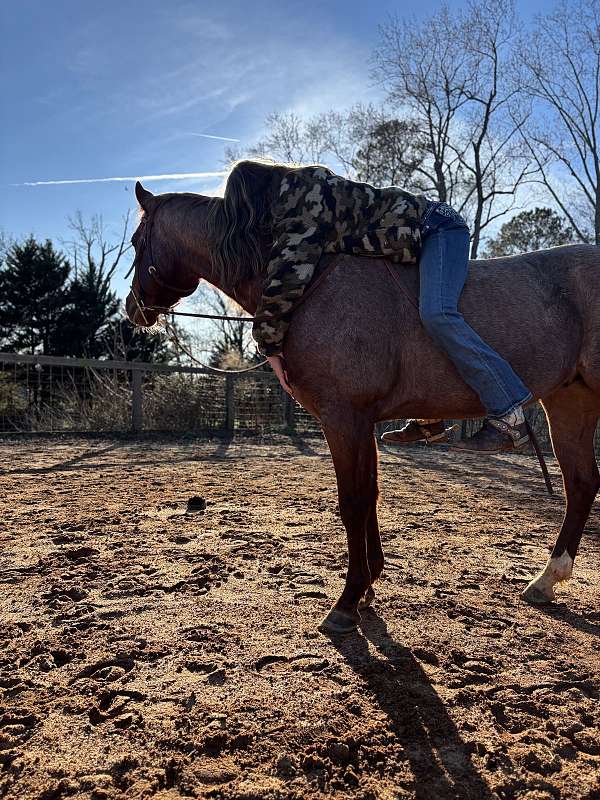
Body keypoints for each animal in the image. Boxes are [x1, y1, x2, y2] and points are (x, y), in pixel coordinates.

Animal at [125, 181, 600, 634]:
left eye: (135, 240)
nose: (133, 309)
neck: (315, 285)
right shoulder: (364, 423)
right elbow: (370, 496)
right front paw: (370, 584)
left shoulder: (343, 419)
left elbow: (353, 502)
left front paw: (347, 601)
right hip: (570, 400)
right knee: (581, 483)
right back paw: (546, 580)